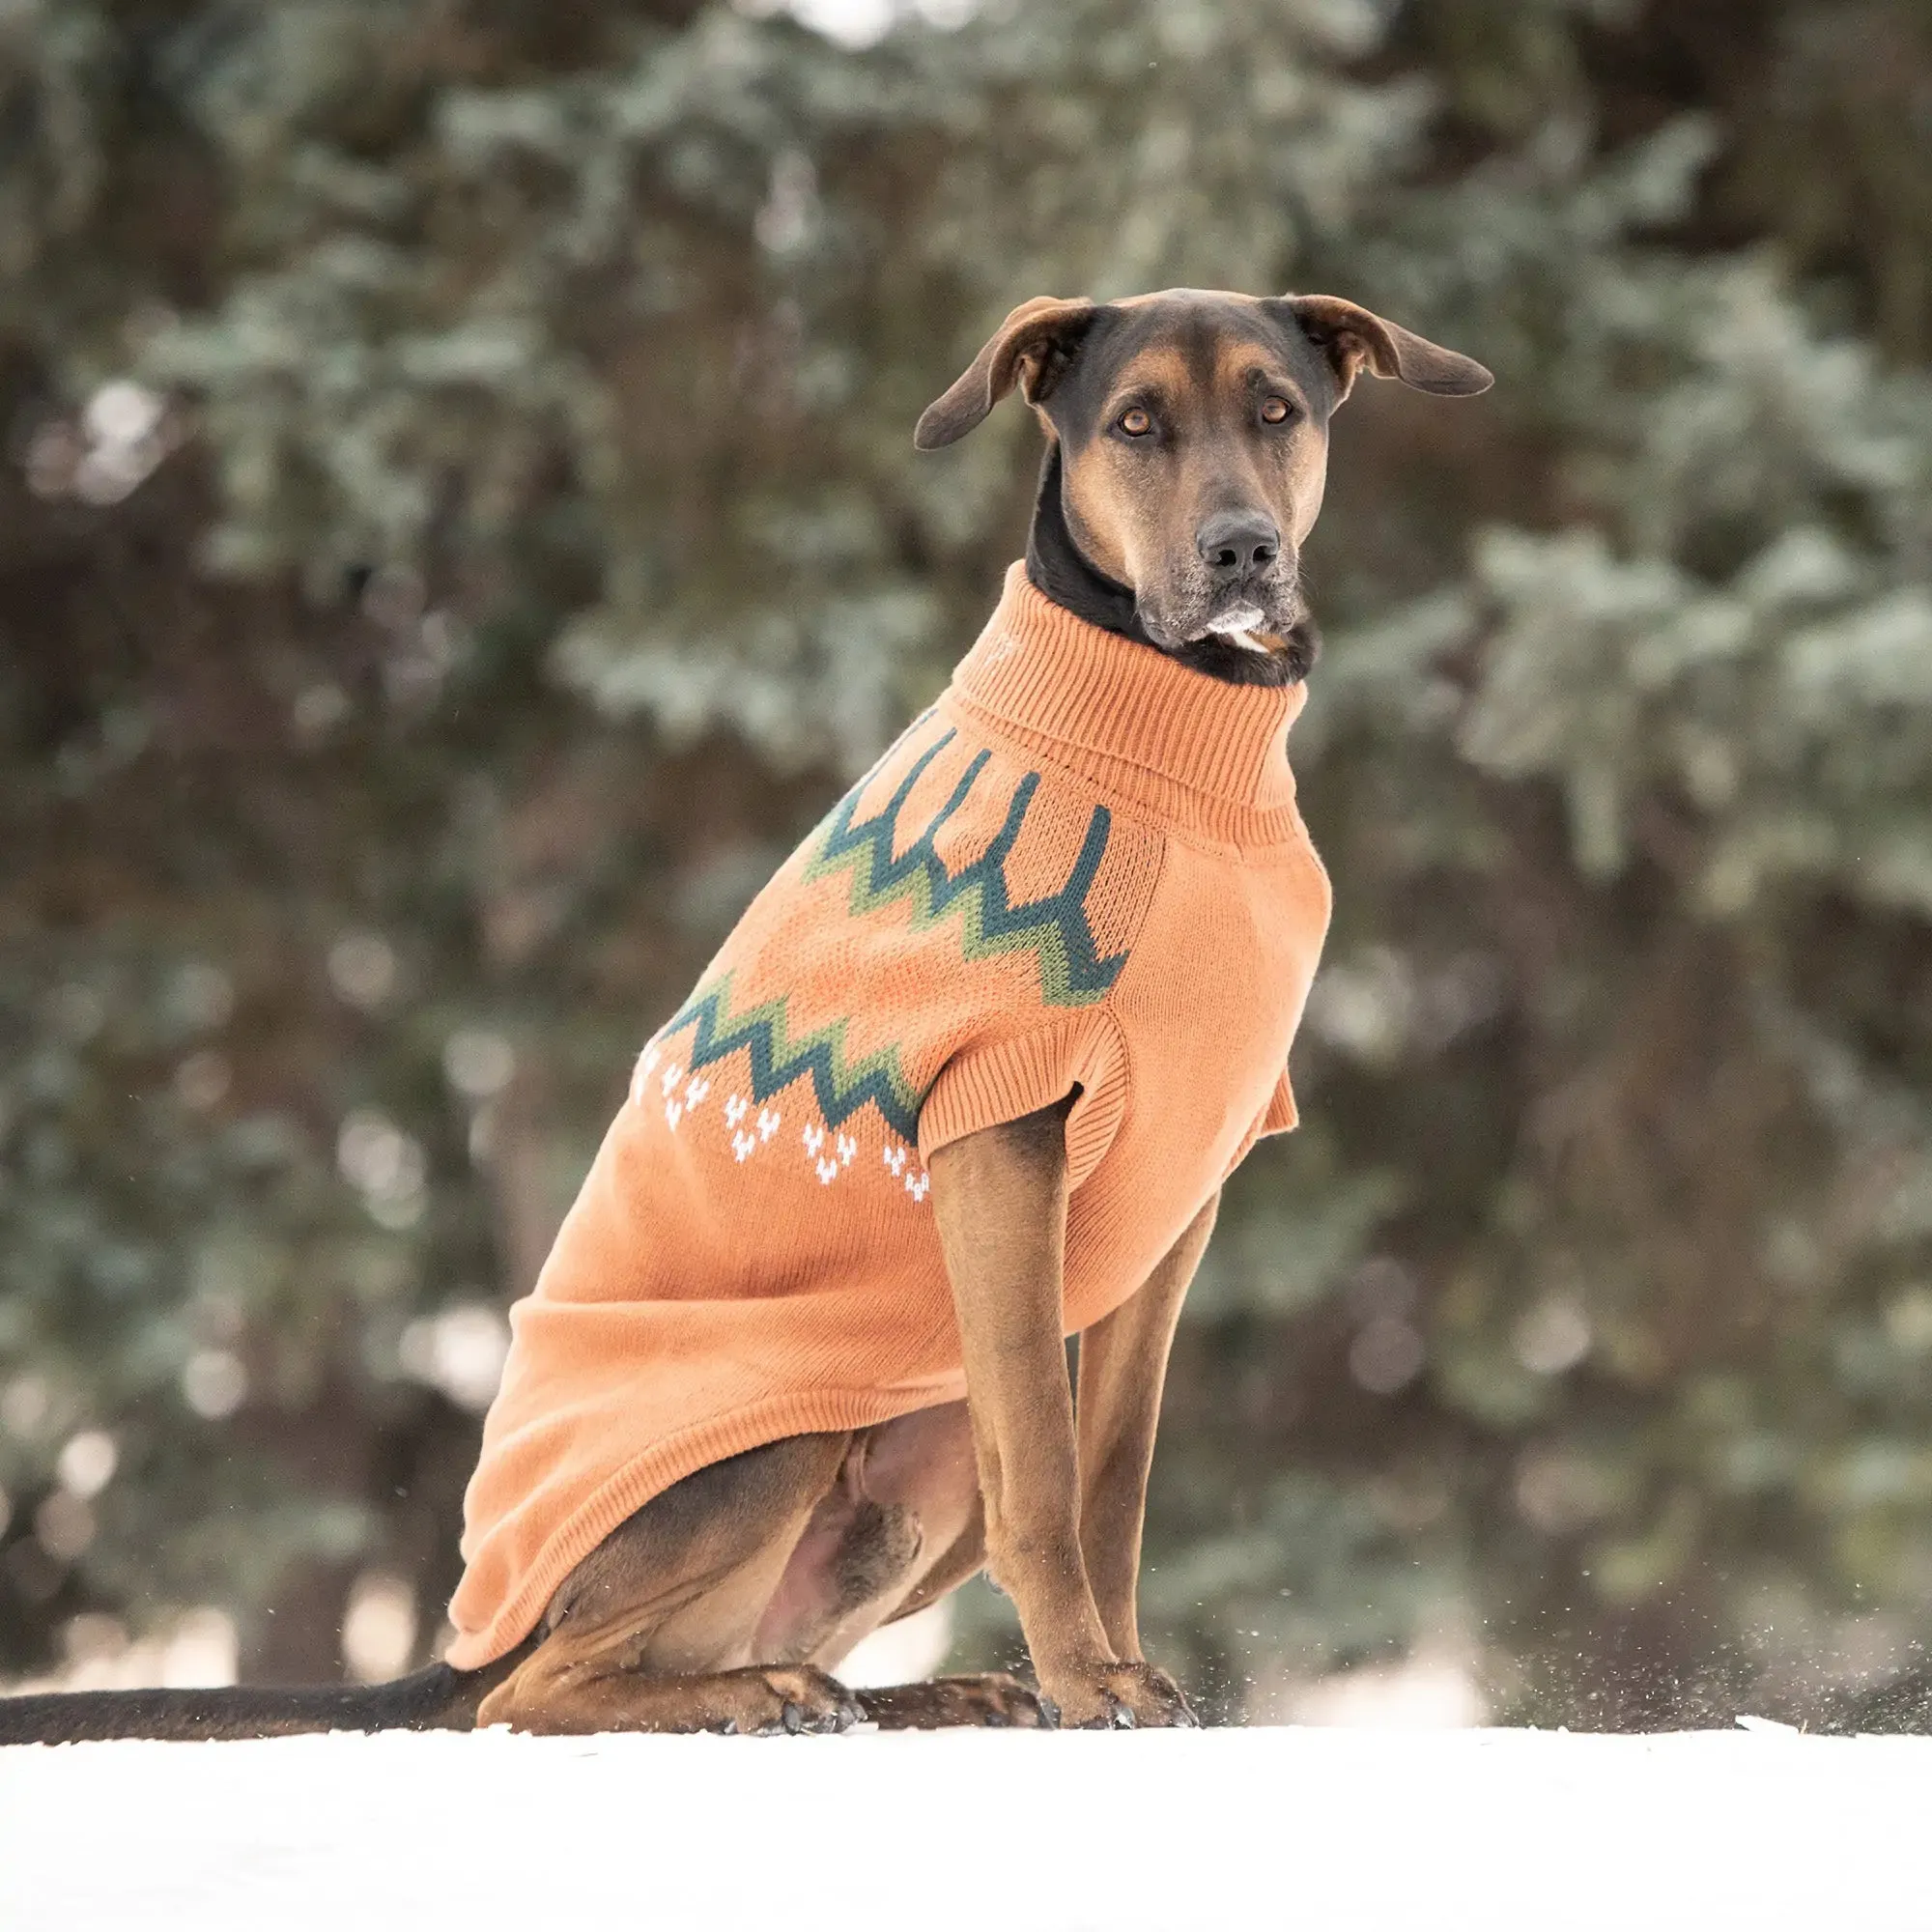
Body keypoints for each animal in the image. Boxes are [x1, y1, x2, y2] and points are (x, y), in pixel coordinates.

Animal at [0, 286, 1492, 1754]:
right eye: (1134, 424)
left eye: (1277, 410)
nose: (1242, 550)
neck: (1180, 729)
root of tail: (491, 1627)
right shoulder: (999, 1131)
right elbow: (1046, 1461)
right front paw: (1089, 1683)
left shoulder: (1185, 1188)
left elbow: (1111, 1474)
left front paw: (1118, 1672)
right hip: (764, 1437)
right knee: (537, 1700)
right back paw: (758, 1699)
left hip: (914, 1448)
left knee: (738, 1646)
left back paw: (897, 1694)